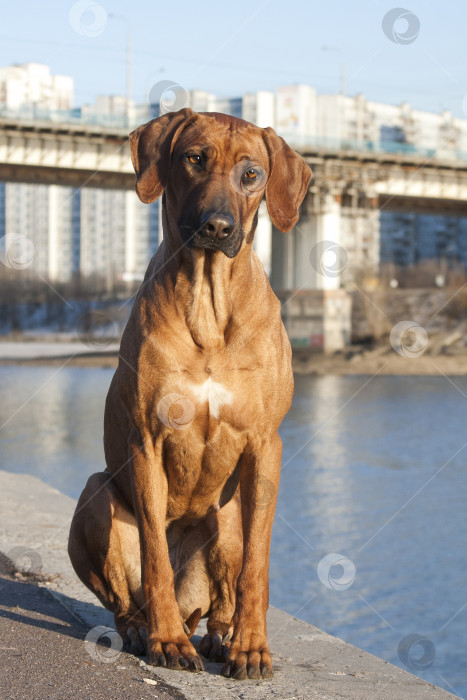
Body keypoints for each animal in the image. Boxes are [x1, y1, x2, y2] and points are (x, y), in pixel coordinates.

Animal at [68, 108, 310, 680]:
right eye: (194, 159)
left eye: (252, 174)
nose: (218, 227)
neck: (208, 302)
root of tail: (188, 606)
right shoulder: (147, 440)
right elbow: (155, 554)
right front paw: (167, 643)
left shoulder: (266, 445)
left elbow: (257, 568)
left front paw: (252, 646)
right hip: (94, 497)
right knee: (126, 596)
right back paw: (147, 629)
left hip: (229, 518)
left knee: (223, 592)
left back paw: (223, 637)